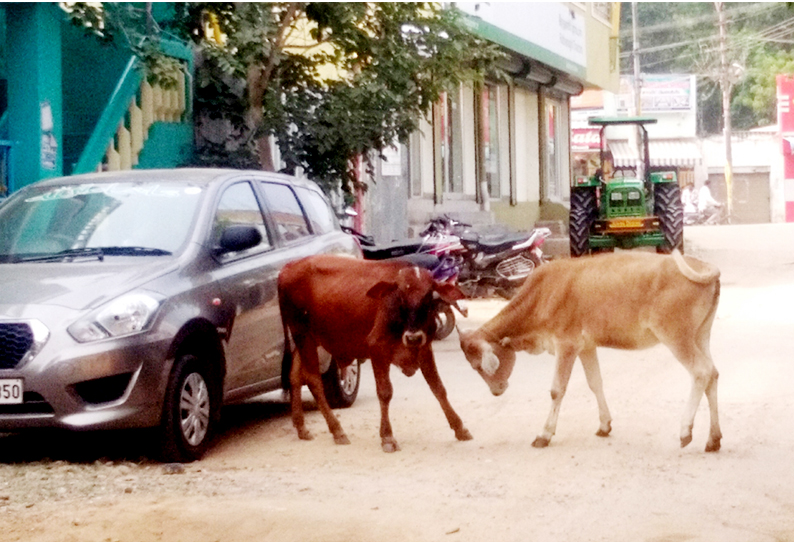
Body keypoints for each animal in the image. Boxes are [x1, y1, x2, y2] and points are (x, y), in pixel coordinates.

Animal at [276, 255, 470, 454]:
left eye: (428, 296)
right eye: (400, 296)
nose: (413, 337)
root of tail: (287, 267)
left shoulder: (424, 349)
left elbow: (438, 388)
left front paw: (459, 428)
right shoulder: (377, 350)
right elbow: (385, 393)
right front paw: (387, 437)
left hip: (307, 339)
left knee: (294, 376)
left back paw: (301, 427)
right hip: (302, 333)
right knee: (313, 380)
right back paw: (337, 430)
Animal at [454, 251, 720, 454]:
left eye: (477, 366)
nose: (496, 391)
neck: (542, 294)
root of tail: (706, 266)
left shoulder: (566, 344)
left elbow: (556, 390)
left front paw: (544, 434)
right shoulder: (586, 347)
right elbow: (595, 383)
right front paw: (604, 426)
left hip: (676, 336)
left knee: (701, 372)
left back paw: (685, 431)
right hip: (701, 336)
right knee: (713, 374)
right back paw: (713, 439)